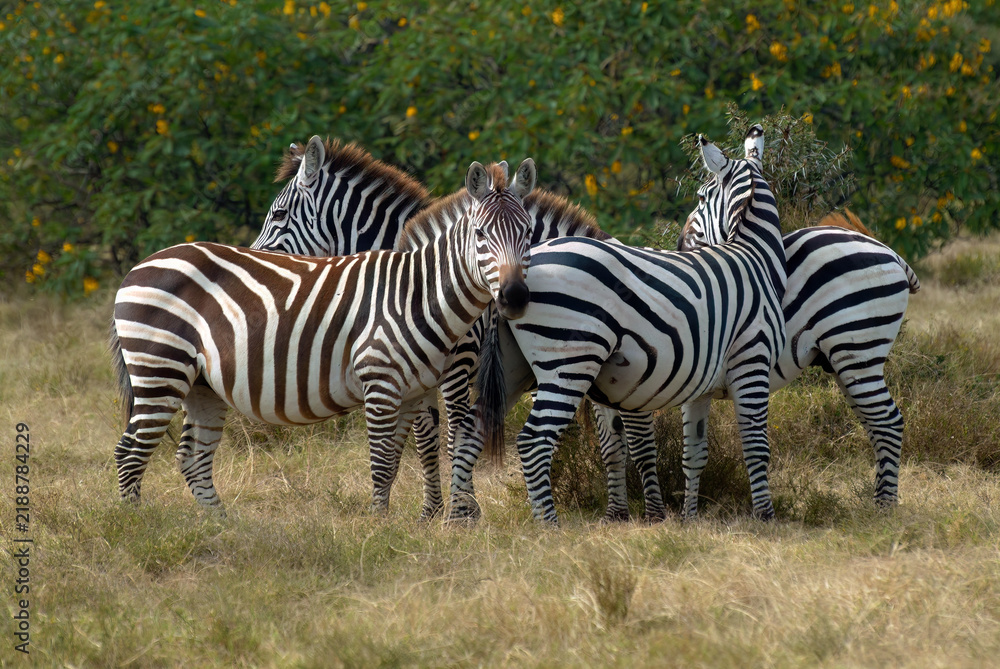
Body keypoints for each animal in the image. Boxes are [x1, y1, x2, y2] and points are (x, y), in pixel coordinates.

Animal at [109, 158, 537, 515]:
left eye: (529, 232)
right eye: (480, 233)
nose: (515, 296)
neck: (416, 290)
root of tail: (137, 268)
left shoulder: (413, 391)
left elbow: (404, 457)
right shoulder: (382, 382)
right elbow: (385, 464)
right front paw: (383, 531)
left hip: (200, 385)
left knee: (191, 458)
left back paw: (220, 528)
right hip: (160, 369)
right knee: (130, 452)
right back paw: (135, 529)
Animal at [451, 124, 788, 524]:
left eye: (701, 197)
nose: (680, 243)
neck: (755, 257)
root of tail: (512, 279)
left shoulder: (701, 385)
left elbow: (694, 452)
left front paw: (689, 518)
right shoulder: (751, 361)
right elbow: (755, 446)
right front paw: (765, 516)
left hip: (515, 368)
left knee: (470, 432)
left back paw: (460, 517)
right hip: (569, 363)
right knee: (533, 441)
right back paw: (548, 525)